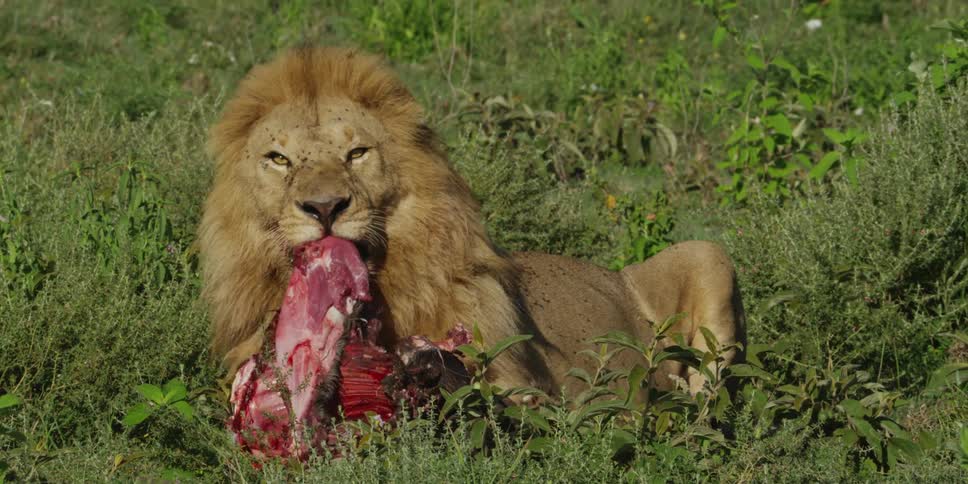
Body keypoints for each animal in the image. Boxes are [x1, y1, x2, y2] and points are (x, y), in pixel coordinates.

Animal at [198, 46, 746, 398]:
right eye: (278, 160)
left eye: (357, 153)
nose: (325, 207)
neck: (386, 299)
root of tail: (616, 274)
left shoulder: (537, 400)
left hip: (707, 254)